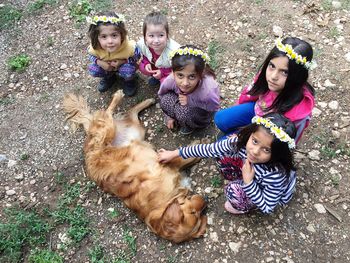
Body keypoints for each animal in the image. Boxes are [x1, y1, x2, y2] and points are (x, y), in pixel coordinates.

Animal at [62, 91, 208, 243]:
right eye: (194, 213)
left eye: (199, 215)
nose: (206, 201)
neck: (163, 204)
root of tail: (87, 148)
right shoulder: (167, 164)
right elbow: (185, 157)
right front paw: (200, 144)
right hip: (109, 131)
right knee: (108, 112)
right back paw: (118, 96)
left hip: (136, 130)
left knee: (129, 112)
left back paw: (147, 100)